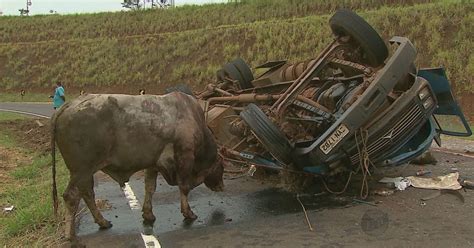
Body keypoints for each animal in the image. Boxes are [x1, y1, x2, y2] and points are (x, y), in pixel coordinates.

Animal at [51, 92, 225, 243]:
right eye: (222, 167)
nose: (222, 186)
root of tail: (68, 105)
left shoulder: (153, 163)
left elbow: (150, 187)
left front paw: (148, 214)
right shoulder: (185, 156)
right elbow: (184, 187)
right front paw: (188, 213)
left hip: (85, 173)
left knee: (87, 194)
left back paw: (103, 222)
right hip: (82, 170)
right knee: (71, 196)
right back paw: (70, 235)